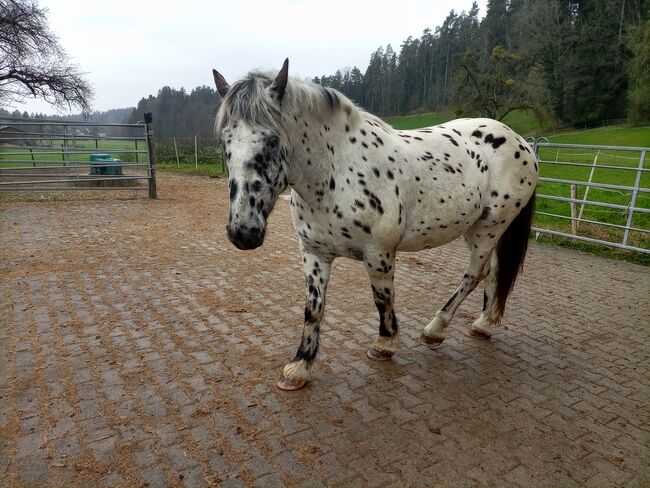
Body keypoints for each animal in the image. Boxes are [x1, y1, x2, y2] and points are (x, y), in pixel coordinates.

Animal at [213, 59, 536, 390]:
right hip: (478, 229)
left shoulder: (379, 253)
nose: (243, 232)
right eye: (224, 142)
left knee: (474, 275)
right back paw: (483, 324)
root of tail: (521, 142)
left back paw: (434, 330)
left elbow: (382, 298)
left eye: (272, 140)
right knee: (494, 271)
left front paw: (385, 344)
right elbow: (313, 309)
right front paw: (299, 366)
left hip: (491, 226)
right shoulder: (314, 253)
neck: (337, 172)